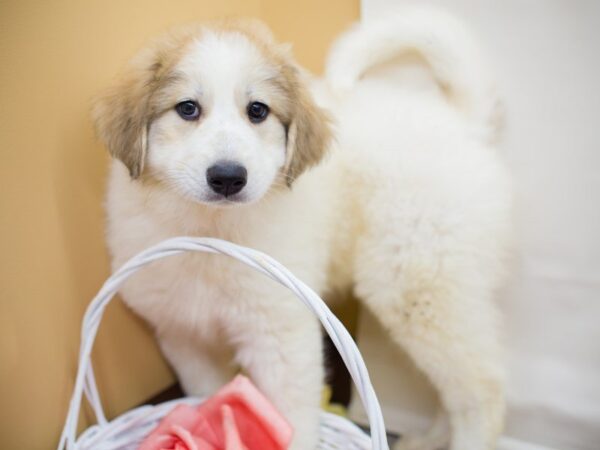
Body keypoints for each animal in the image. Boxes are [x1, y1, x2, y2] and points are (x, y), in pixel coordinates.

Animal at [94, 7, 510, 450]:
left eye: (258, 111)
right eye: (187, 109)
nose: (228, 177)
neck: (213, 231)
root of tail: (462, 122)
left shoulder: (280, 332)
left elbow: (293, 414)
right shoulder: (183, 335)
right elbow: (208, 396)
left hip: (419, 283)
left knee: (483, 386)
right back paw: (426, 439)